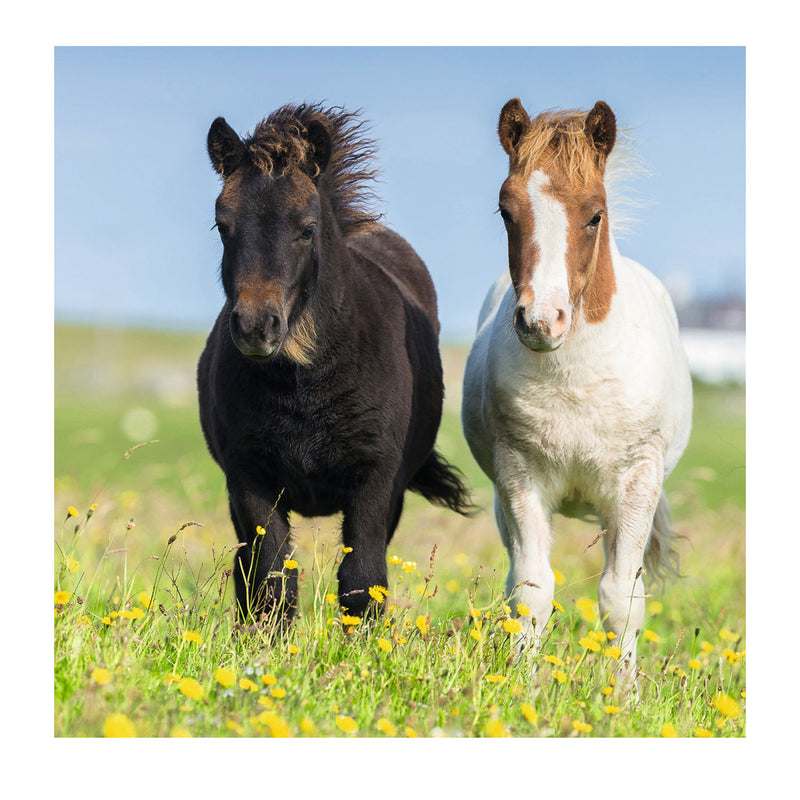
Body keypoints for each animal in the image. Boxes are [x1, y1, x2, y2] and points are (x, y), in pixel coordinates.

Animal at [197, 103, 471, 626]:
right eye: (222, 225)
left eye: (307, 229)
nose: (256, 327)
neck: (304, 384)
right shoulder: (249, 480)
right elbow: (271, 582)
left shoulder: (375, 481)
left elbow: (362, 583)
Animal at [461, 99, 692, 675]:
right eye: (506, 211)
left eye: (595, 214)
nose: (541, 322)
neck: (576, 377)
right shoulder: (518, 476)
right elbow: (531, 591)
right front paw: (522, 683)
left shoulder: (636, 484)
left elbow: (621, 599)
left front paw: (623, 691)